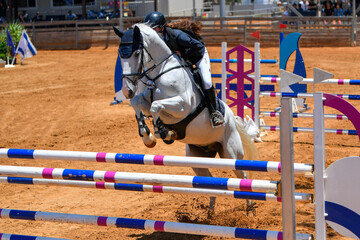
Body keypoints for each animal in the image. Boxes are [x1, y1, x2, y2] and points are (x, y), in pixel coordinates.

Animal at [114, 23, 258, 212]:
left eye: (137, 53)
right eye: (119, 53)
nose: (127, 90)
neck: (159, 72)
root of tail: (233, 120)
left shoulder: (182, 104)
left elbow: (155, 106)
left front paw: (163, 131)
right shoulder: (144, 99)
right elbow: (138, 103)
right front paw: (148, 137)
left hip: (230, 153)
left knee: (243, 176)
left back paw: (250, 211)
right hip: (197, 159)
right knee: (209, 182)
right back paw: (210, 212)